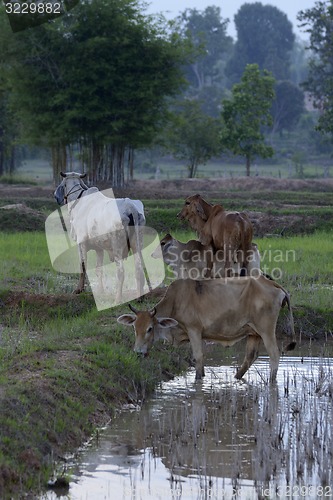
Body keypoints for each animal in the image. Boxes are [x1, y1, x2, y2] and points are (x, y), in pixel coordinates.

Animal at [53, 171, 146, 300]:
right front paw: (100, 291)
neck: (79, 201)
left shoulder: (81, 243)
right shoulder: (99, 248)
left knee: (121, 271)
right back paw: (139, 296)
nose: (56, 197)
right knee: (138, 267)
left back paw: (118, 298)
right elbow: (99, 269)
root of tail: (130, 207)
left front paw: (79, 289)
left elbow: (83, 266)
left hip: (117, 247)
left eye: (62, 182)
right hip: (137, 244)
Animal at [117, 276, 296, 384]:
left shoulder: (194, 330)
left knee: (274, 355)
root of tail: (270, 282)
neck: (175, 302)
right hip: (254, 332)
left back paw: (271, 382)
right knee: (250, 357)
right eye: (134, 328)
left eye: (149, 328)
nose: (138, 352)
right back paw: (236, 377)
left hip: (266, 330)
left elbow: (198, 357)